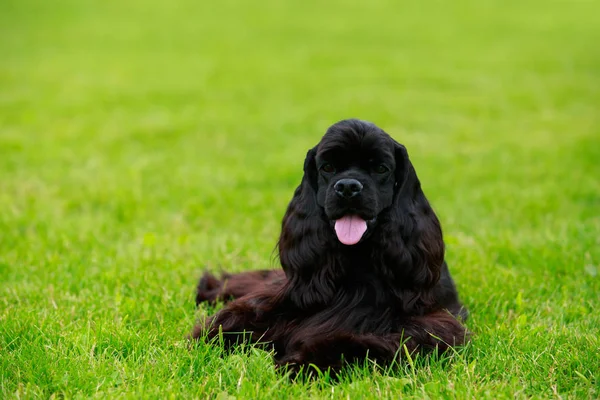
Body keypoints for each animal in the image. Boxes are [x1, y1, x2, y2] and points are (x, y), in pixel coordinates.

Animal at [192, 118, 468, 372]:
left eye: (380, 168)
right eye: (327, 167)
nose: (347, 187)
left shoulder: (427, 324)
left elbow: (356, 343)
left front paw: (303, 364)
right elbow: (241, 314)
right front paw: (207, 337)